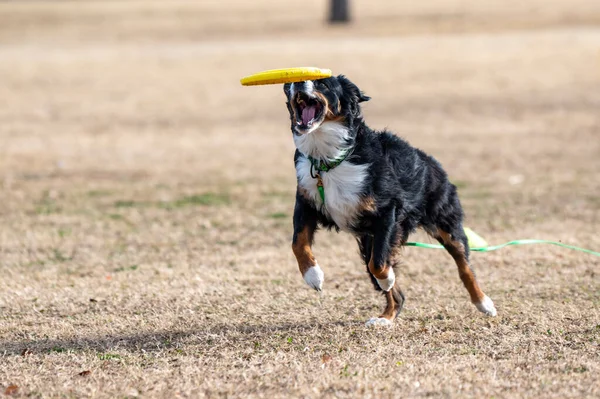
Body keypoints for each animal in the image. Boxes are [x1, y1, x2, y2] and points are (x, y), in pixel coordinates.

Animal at [284, 75, 496, 324]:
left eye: (322, 83)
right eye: (291, 83)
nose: (296, 83)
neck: (327, 159)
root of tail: (429, 160)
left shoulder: (387, 212)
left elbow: (379, 264)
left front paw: (387, 278)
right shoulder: (306, 202)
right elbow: (298, 243)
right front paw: (313, 276)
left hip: (445, 224)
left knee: (464, 266)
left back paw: (484, 303)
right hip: (370, 240)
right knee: (396, 291)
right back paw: (385, 318)